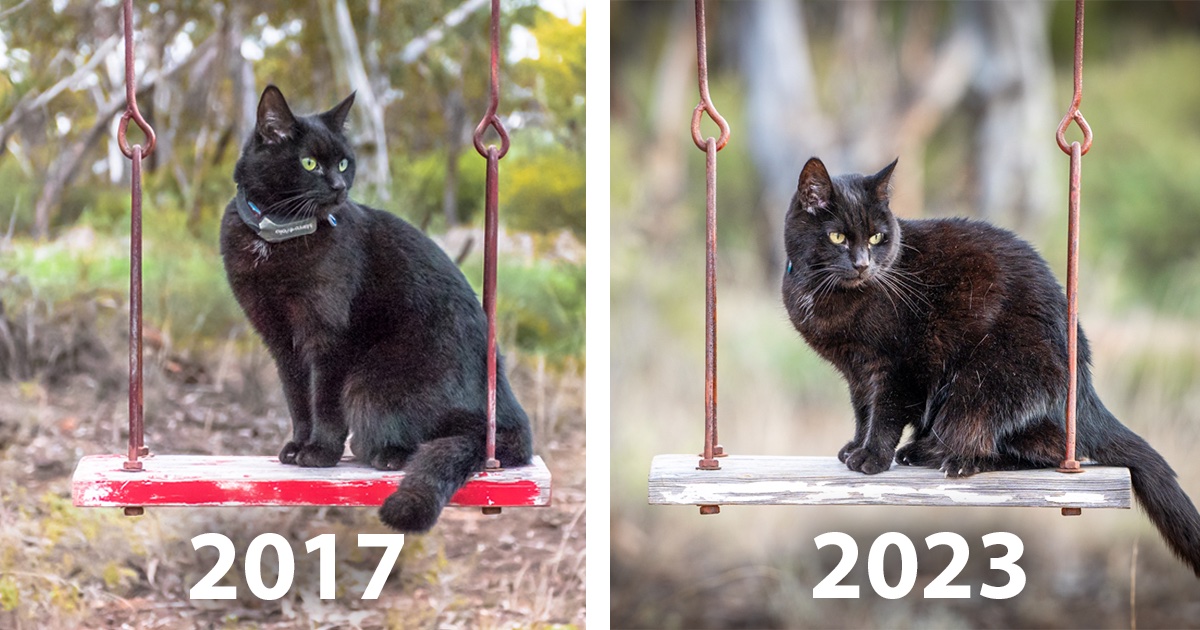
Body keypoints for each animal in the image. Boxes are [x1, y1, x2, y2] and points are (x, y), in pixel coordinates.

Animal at [217, 84, 535, 530]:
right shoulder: (280, 340)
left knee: (432, 434)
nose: (339, 187)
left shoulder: (330, 338)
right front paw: (297, 445)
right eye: (309, 163)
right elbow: (297, 398)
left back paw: (387, 455)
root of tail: (508, 414)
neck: (277, 236)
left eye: (344, 162)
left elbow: (323, 400)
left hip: (371, 385)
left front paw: (320, 452)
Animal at [777, 157, 1200, 573]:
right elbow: (863, 411)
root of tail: (1086, 395)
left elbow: (884, 414)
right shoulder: (858, 371)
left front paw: (872, 458)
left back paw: (959, 461)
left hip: (982, 386)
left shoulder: (895, 366)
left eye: (878, 238)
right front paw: (854, 447)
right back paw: (923, 452)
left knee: (1044, 450)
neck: (827, 292)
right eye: (837, 237)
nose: (863, 264)